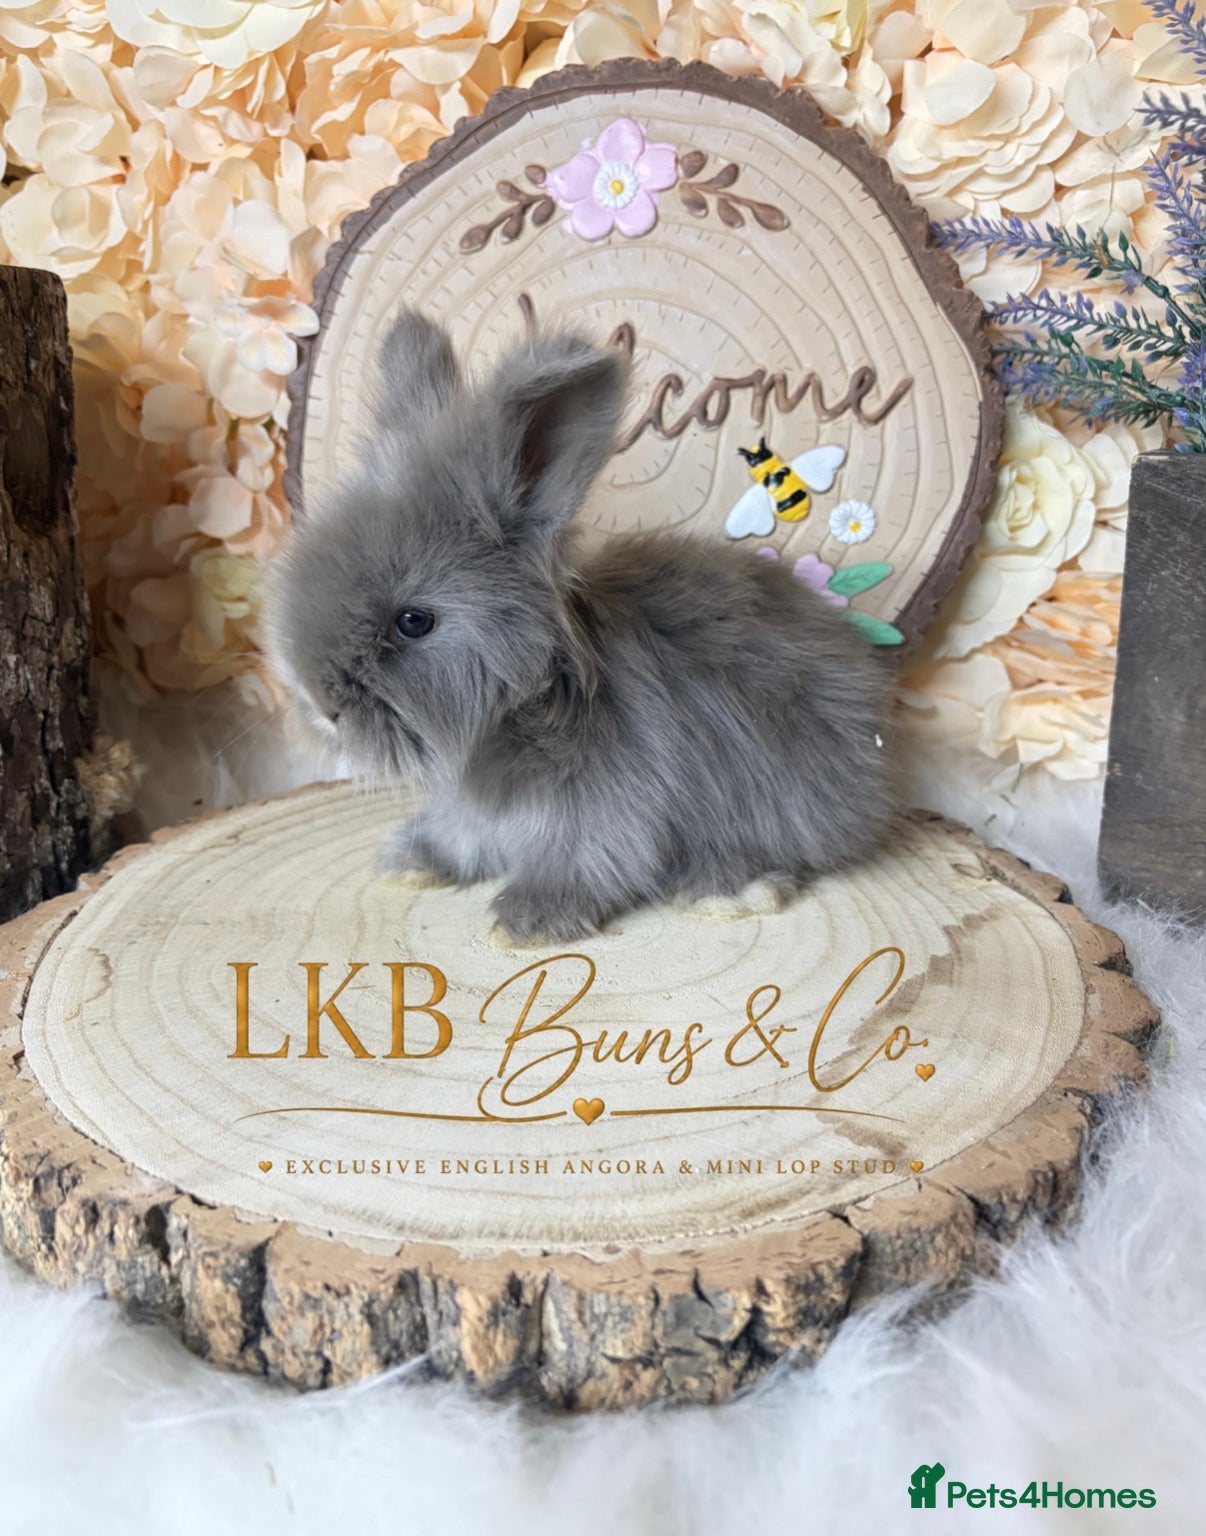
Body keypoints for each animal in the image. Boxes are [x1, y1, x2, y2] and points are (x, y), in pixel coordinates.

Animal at [264, 309, 899, 942]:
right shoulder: (476, 809)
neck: (526, 701)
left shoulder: (611, 802)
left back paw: (729, 888)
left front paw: (526, 921)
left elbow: (589, 856)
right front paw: (414, 862)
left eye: (413, 622)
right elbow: (462, 838)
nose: (321, 707)